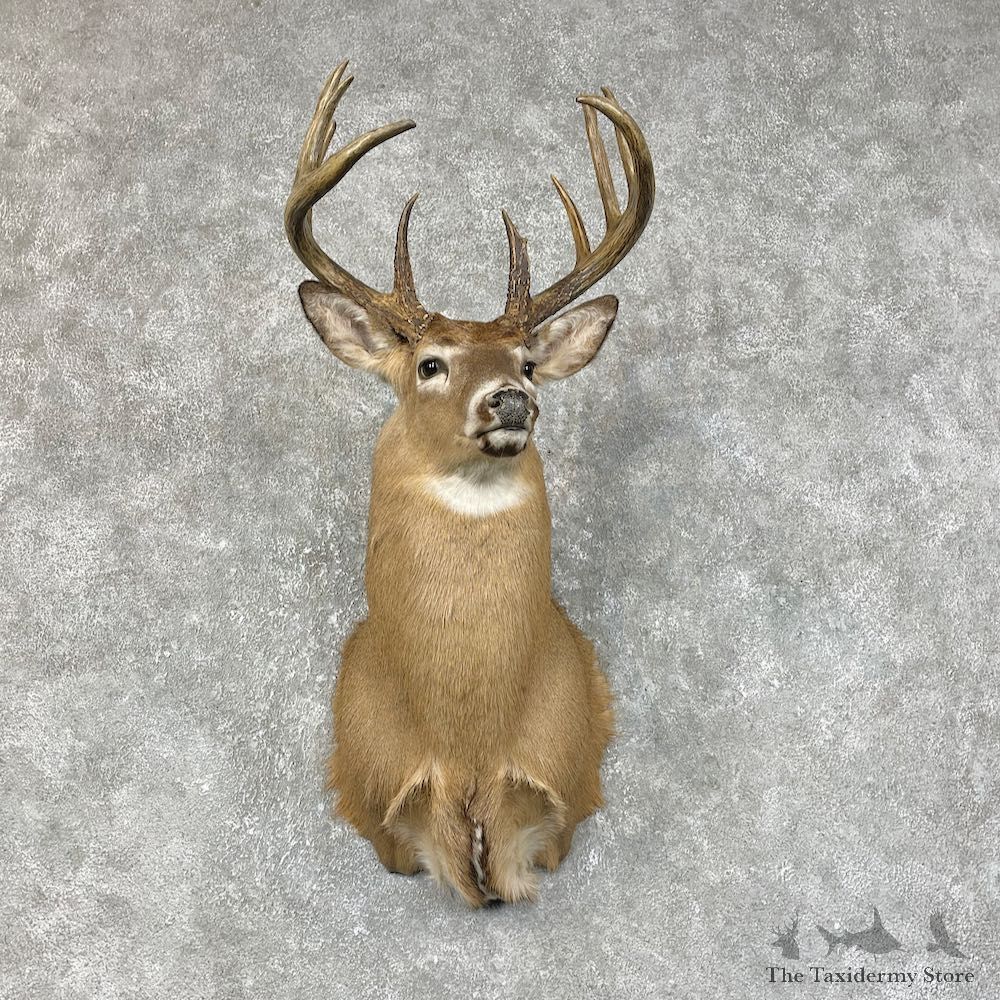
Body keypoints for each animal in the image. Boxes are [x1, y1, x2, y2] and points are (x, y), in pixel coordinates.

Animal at [285, 61, 654, 907]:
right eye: (430, 363)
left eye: (528, 362)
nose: (512, 400)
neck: (468, 744)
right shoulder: (371, 796)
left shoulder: (570, 779)